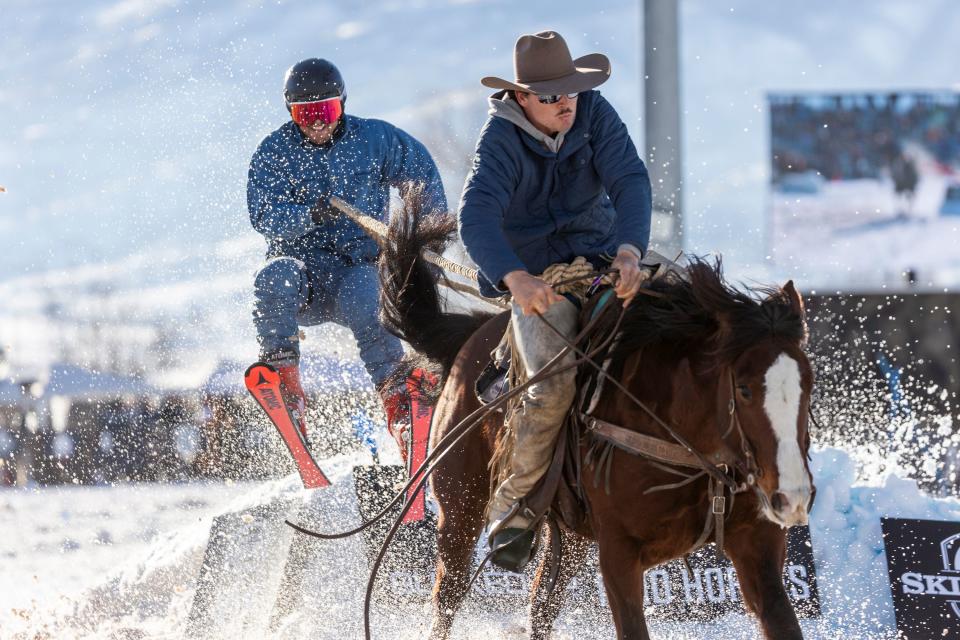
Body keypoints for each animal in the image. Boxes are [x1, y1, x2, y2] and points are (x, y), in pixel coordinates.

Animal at [378, 202, 812, 636]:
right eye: (744, 389)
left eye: (807, 383)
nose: (793, 496)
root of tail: (474, 332)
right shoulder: (618, 552)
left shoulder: (757, 542)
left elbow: (781, 618)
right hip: (459, 509)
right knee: (447, 598)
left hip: (571, 536)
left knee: (541, 604)